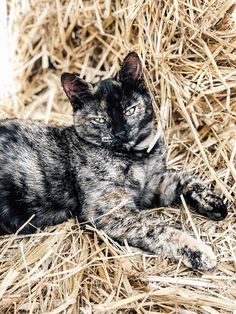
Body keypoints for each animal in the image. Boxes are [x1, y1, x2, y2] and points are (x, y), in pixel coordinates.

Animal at [0, 52, 227, 270]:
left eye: (130, 110)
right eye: (100, 119)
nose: (120, 133)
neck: (136, 157)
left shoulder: (151, 186)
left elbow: (187, 178)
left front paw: (213, 202)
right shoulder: (111, 211)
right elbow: (156, 229)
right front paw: (197, 251)